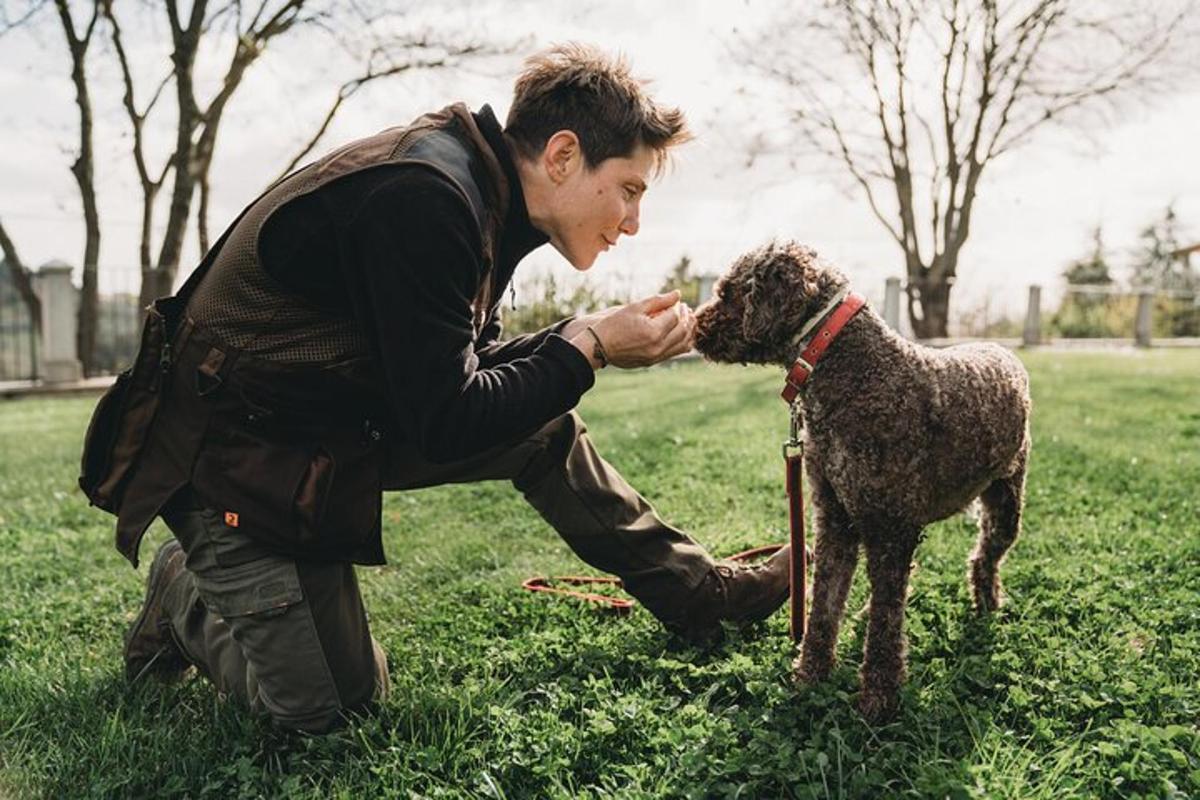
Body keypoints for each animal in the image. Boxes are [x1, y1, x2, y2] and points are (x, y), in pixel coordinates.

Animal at [696, 241, 1032, 724]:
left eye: (727, 293)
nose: (693, 327)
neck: (851, 367)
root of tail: (1005, 352)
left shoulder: (892, 530)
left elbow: (886, 626)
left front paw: (878, 697)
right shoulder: (835, 519)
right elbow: (824, 607)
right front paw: (810, 677)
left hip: (1006, 502)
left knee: (984, 558)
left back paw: (988, 606)